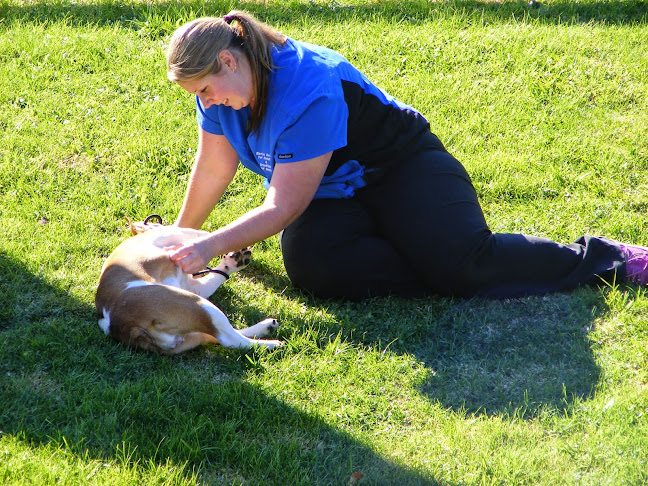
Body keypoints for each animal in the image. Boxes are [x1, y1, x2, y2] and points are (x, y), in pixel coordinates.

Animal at [94, 219, 280, 354]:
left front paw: (232, 263)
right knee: (230, 339)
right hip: (198, 304)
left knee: (223, 334)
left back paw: (266, 327)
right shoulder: (178, 234)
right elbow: (202, 234)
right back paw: (271, 344)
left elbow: (215, 276)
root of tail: (126, 327)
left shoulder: (195, 286)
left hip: (193, 324)